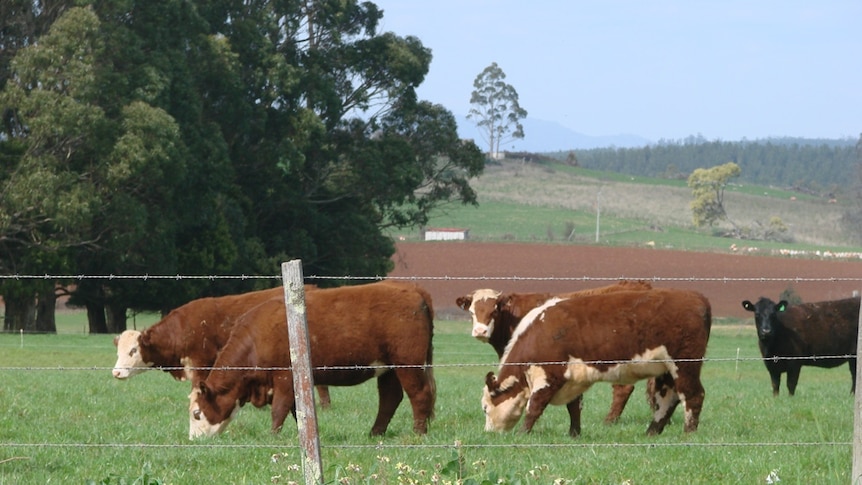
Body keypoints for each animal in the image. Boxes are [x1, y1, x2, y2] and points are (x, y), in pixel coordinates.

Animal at [186, 278, 436, 436]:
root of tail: (411, 288)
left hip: (408, 363)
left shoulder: (285, 378)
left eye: (197, 414)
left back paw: (418, 433)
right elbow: (298, 412)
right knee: (390, 398)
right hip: (388, 367)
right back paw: (375, 433)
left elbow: (280, 409)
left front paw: (272, 436)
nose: (194, 439)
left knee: (420, 394)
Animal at [482, 288, 712, 438]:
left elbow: (534, 406)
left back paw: (689, 433)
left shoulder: (549, 375)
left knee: (693, 395)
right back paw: (651, 432)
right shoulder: (572, 379)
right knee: (666, 399)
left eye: (485, 408)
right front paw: (574, 433)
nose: (489, 433)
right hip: (666, 369)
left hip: (685, 364)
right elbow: (574, 407)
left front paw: (522, 434)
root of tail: (696, 297)